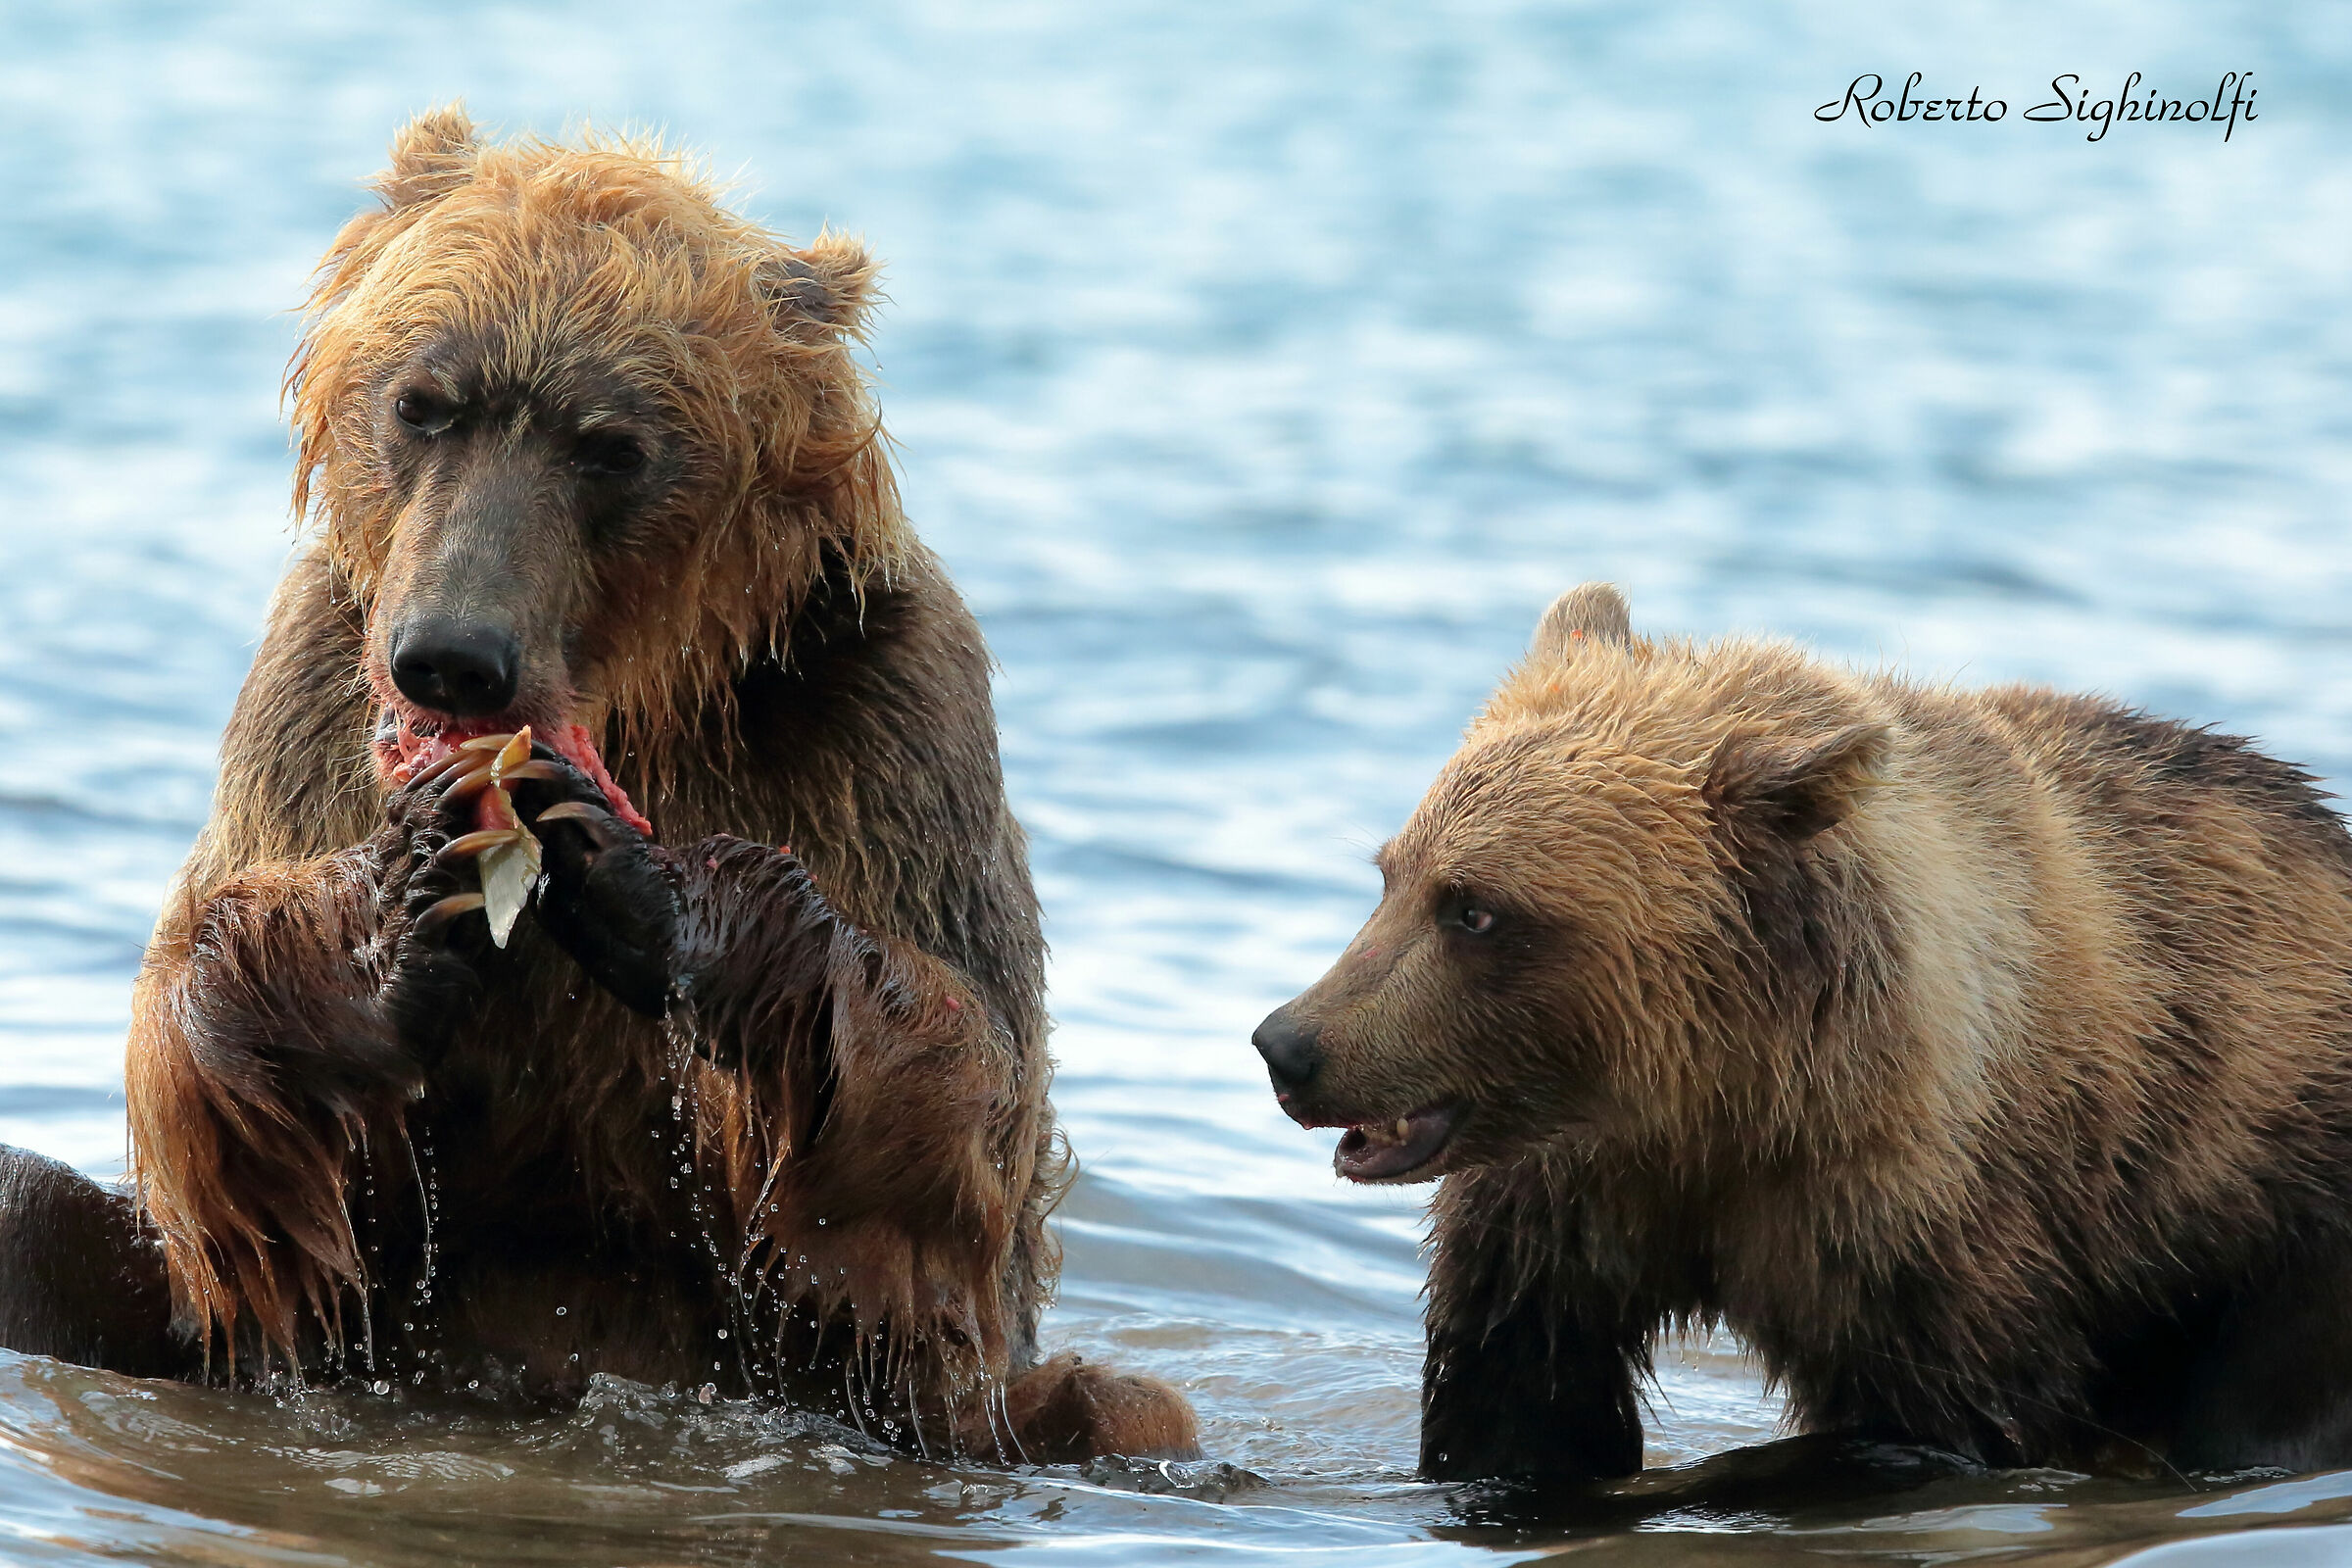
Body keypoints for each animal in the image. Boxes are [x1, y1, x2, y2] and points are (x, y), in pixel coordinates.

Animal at [0, 108, 1196, 1465]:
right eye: (426, 403)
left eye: (610, 445)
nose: (452, 654)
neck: (641, 700)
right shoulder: (316, 684)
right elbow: (208, 1052)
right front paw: (395, 913)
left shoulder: (885, 713)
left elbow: (961, 1092)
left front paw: (656, 893)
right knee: (33, 1214)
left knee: (1123, 1405)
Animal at [1253, 582, 2352, 1484]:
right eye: (1391, 873)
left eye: (1474, 909)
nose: (1290, 1044)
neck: (1715, 1093)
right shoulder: (1562, 1207)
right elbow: (1518, 1401)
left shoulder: (1910, 1218)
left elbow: (1929, 1423)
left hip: (2272, 1193)